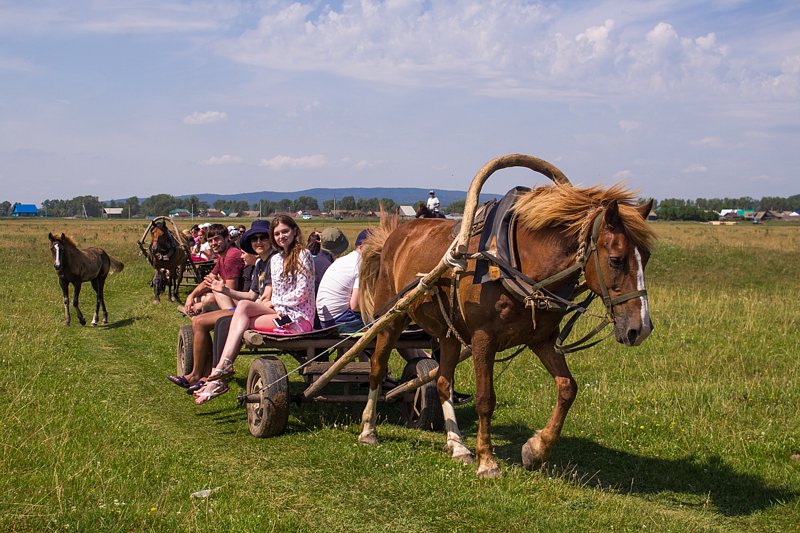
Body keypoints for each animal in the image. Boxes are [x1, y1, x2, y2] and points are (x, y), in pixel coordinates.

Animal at [358, 160, 656, 476]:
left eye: (647, 257)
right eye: (616, 260)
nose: (641, 328)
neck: (512, 263)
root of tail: (396, 235)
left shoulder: (542, 339)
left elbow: (567, 388)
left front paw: (536, 449)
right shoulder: (482, 339)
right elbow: (485, 399)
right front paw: (487, 461)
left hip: (449, 333)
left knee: (442, 381)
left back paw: (457, 445)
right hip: (392, 318)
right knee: (378, 367)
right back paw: (368, 430)